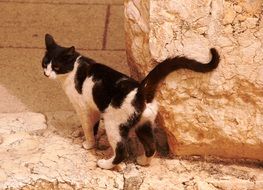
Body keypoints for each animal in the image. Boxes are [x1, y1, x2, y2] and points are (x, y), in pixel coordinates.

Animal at [42, 34, 221, 169]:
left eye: (56, 67)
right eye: (44, 63)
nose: (46, 73)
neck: (74, 69)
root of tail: (140, 91)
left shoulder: (84, 109)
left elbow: (88, 128)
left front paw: (88, 144)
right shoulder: (93, 109)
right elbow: (93, 127)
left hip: (114, 124)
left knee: (122, 151)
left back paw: (105, 164)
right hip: (143, 125)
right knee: (151, 147)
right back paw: (143, 162)